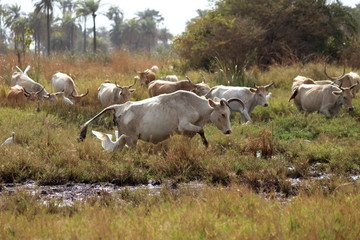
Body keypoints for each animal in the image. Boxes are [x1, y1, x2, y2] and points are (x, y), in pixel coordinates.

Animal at [77, 90, 238, 149]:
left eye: (228, 113)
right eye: (223, 114)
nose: (229, 131)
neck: (194, 104)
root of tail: (120, 106)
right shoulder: (184, 125)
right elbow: (201, 130)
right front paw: (206, 144)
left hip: (123, 138)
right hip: (131, 139)